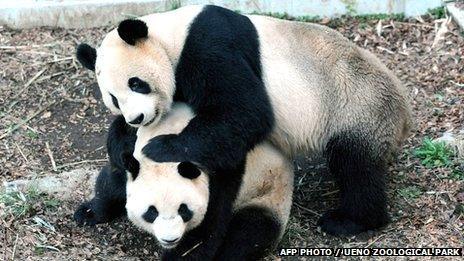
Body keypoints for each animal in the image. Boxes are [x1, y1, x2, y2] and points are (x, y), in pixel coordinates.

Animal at [76, 4, 414, 236]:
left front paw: (161, 147)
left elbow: (245, 110)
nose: (137, 117)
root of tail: (404, 115)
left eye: (136, 83)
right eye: (113, 98)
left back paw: (349, 220)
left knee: (355, 166)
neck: (171, 36)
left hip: (356, 107)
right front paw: (120, 146)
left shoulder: (208, 45)